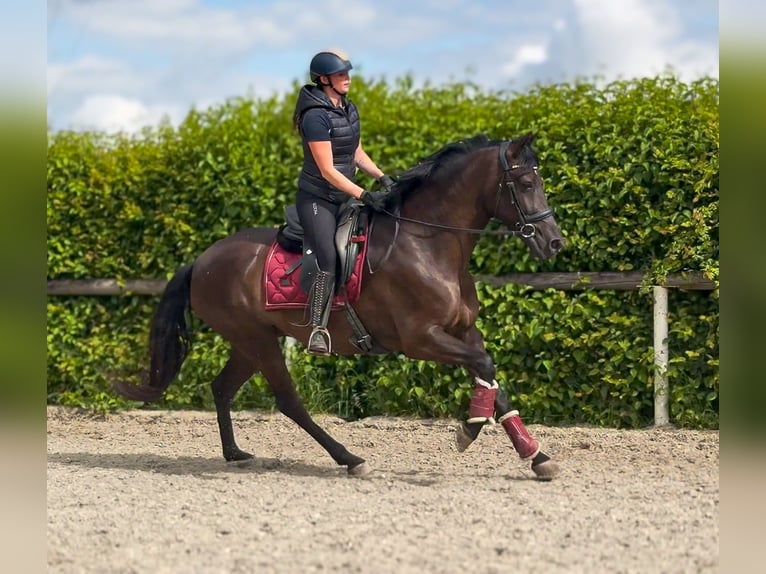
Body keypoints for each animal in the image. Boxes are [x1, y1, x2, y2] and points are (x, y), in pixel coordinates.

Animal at [115, 133, 565, 480]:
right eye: (525, 182)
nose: (554, 242)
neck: (428, 244)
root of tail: (201, 261)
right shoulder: (421, 339)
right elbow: (485, 368)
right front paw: (469, 430)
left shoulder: (463, 332)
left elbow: (490, 378)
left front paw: (536, 457)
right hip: (258, 341)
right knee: (289, 403)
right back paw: (350, 459)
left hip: (249, 342)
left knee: (222, 388)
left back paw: (235, 454)